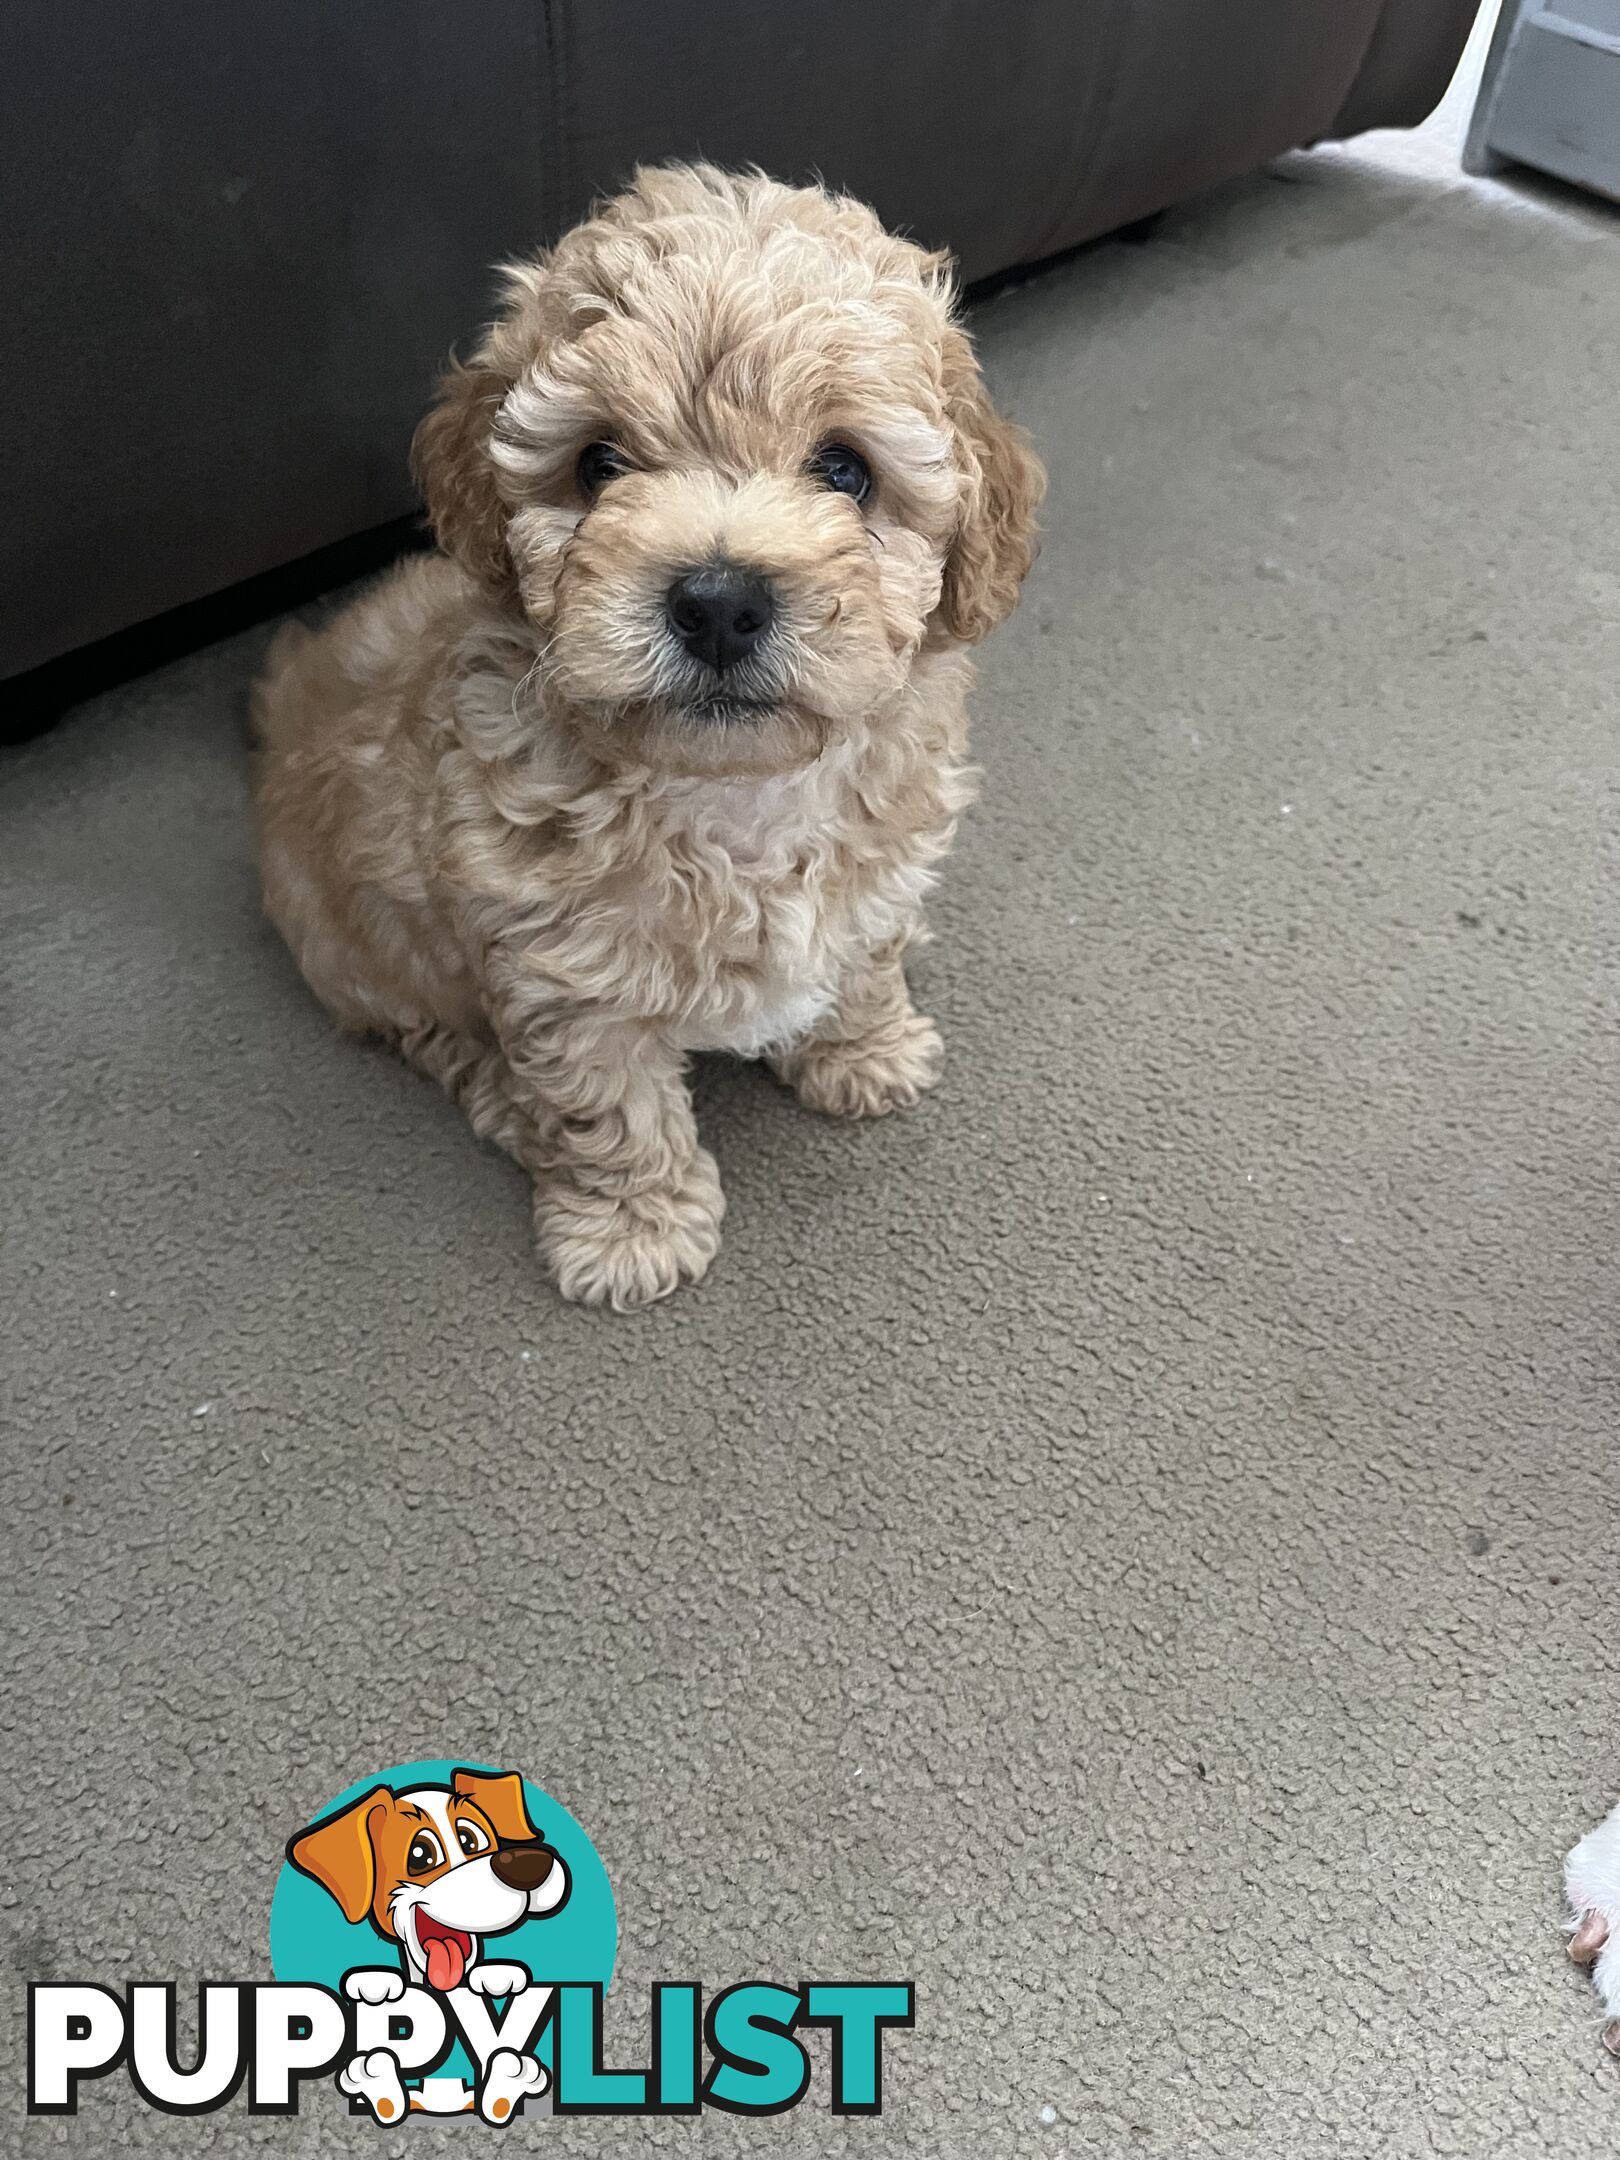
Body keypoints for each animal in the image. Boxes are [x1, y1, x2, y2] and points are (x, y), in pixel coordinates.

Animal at [253, 159, 1041, 1304]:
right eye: (599, 464)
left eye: (845, 470)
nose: (718, 602)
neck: (731, 794)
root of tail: (283, 703)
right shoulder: (561, 976)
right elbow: (608, 1111)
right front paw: (632, 1230)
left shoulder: (874, 864)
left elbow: (860, 958)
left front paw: (864, 1051)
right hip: (357, 950)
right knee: (435, 1036)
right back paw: (501, 1101)